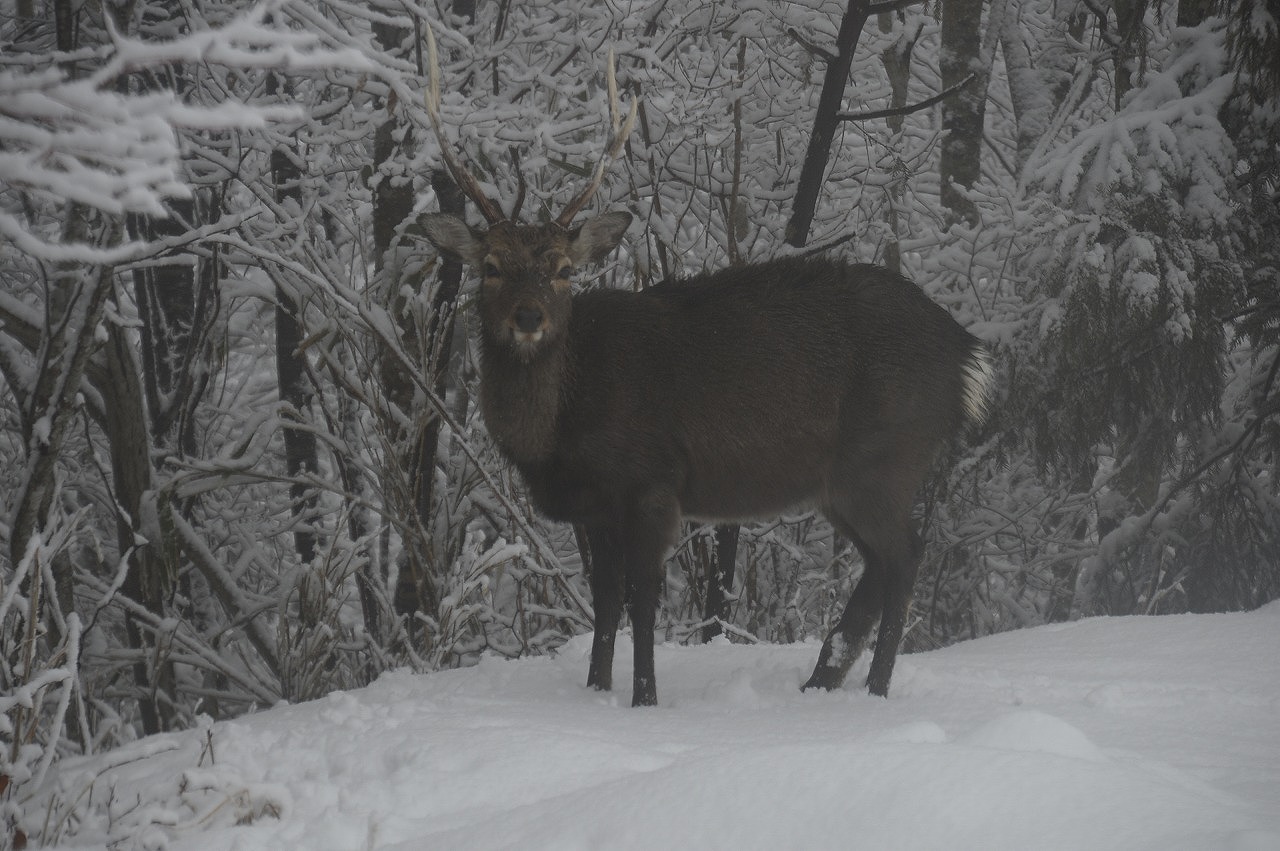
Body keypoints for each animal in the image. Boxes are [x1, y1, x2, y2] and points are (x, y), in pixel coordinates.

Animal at [414, 28, 993, 701]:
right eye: (490, 266)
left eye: (561, 270)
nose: (528, 318)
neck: (558, 436)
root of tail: (968, 356)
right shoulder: (596, 506)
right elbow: (604, 602)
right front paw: (596, 692)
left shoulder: (651, 480)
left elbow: (642, 601)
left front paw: (643, 698)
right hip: (846, 479)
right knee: (881, 566)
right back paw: (820, 684)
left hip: (885, 456)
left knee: (905, 557)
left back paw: (872, 692)